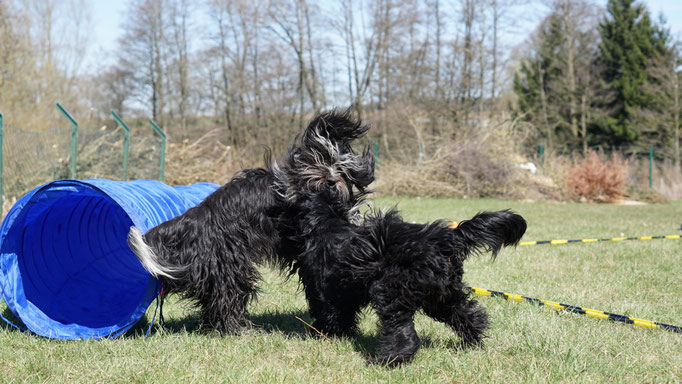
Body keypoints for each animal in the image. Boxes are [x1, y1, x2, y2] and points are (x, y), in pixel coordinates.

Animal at [127, 109, 372, 334]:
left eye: (341, 168)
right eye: (319, 160)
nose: (331, 180)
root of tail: (193, 225)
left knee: (213, 303)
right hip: (232, 266)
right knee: (227, 300)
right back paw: (240, 329)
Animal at [278, 188, 524, 368]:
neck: (326, 223)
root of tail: (445, 240)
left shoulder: (327, 289)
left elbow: (330, 312)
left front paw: (320, 334)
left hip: (392, 291)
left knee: (404, 334)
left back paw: (387, 360)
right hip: (441, 295)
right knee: (469, 314)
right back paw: (473, 342)